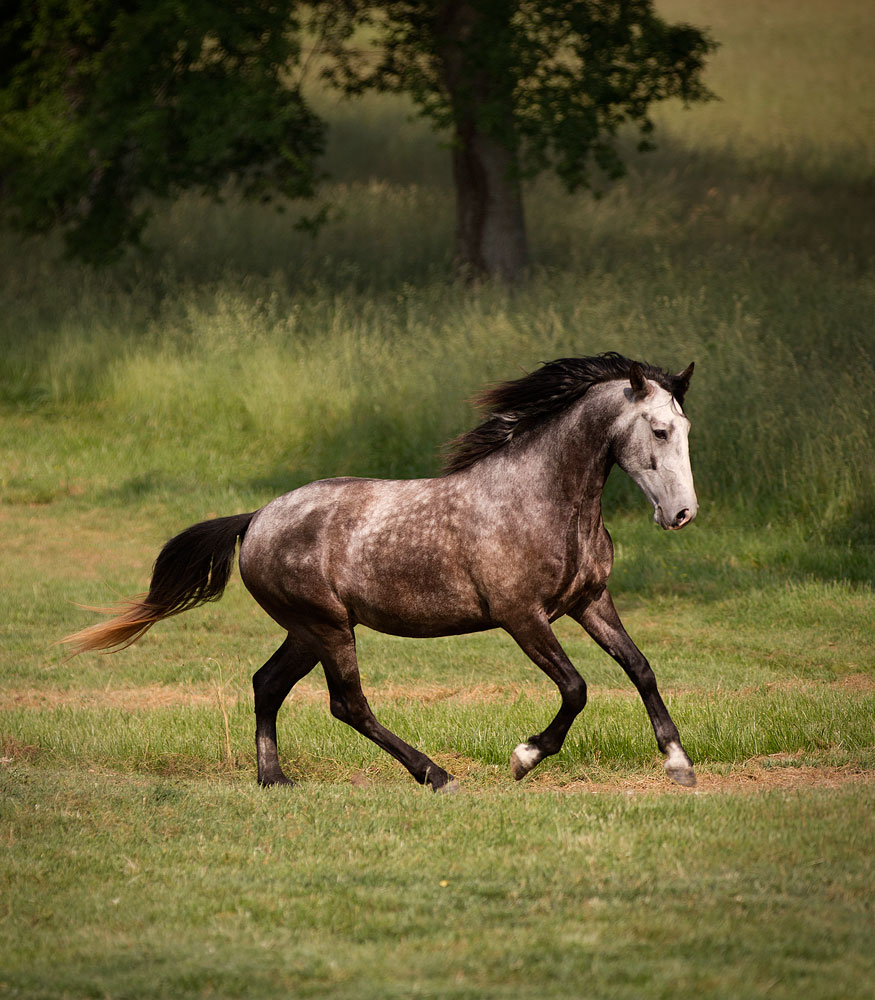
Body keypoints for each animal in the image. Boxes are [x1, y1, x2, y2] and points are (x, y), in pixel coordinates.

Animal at [63, 356, 700, 792]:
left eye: (687, 429)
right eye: (659, 431)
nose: (681, 515)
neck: (540, 499)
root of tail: (257, 518)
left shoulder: (591, 601)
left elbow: (640, 668)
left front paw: (679, 763)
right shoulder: (523, 617)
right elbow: (576, 688)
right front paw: (523, 758)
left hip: (308, 631)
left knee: (267, 684)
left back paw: (275, 778)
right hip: (328, 629)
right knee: (347, 704)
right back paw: (435, 775)